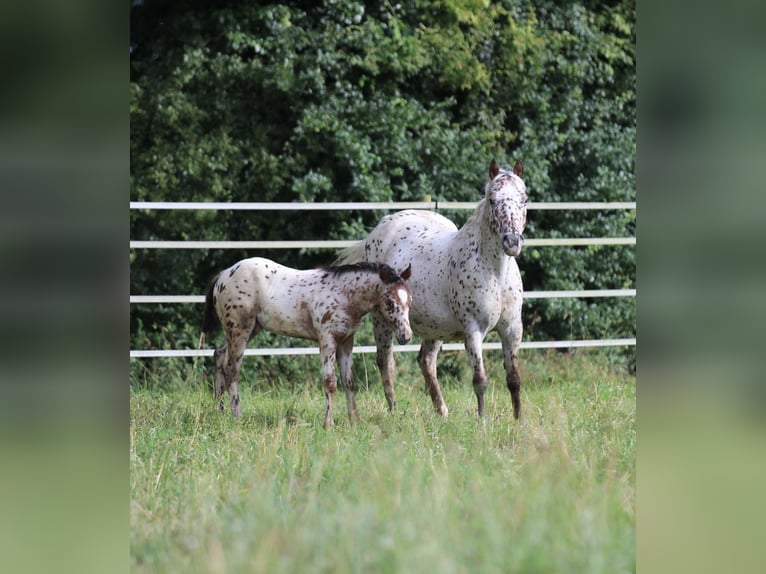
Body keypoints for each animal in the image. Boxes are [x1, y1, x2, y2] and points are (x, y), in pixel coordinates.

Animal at [201, 258, 412, 430]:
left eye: (410, 300)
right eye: (390, 302)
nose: (406, 336)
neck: (344, 294)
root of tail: (224, 274)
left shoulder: (346, 341)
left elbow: (349, 382)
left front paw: (355, 420)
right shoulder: (327, 339)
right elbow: (330, 382)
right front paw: (328, 424)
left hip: (249, 330)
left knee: (219, 355)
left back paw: (218, 411)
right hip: (240, 330)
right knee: (232, 370)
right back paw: (237, 416)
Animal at [340, 160, 528, 420]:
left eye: (524, 199)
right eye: (492, 199)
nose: (512, 242)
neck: (496, 274)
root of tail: (381, 227)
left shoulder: (512, 329)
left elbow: (514, 379)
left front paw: (519, 420)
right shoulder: (473, 330)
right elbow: (480, 380)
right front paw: (482, 421)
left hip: (435, 328)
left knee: (425, 361)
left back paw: (442, 411)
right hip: (382, 320)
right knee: (385, 361)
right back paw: (394, 409)